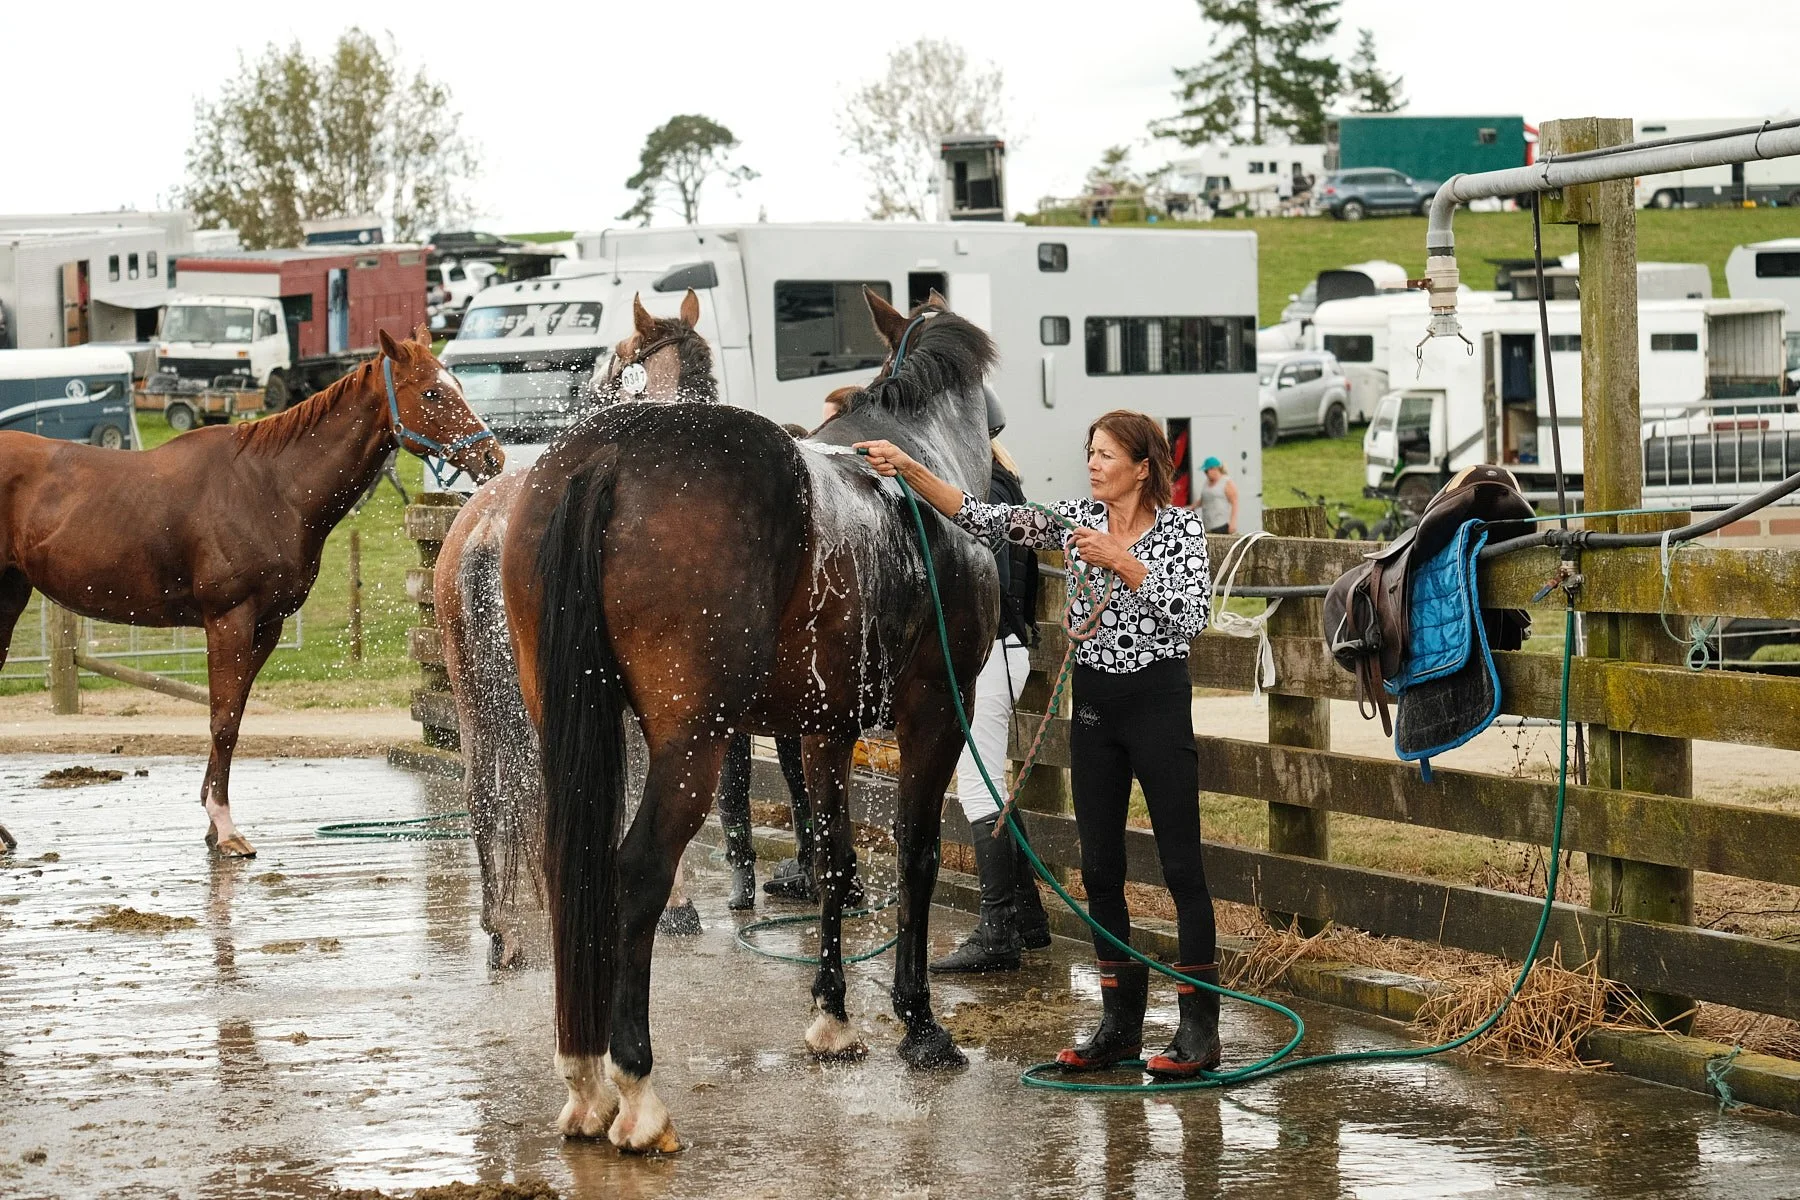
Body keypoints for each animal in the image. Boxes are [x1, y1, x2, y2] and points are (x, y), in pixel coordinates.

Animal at [0, 326, 503, 856]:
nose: (492, 456)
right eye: (431, 393)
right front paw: (225, 828)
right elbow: (222, 720)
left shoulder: (267, 626)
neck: (271, 487)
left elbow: (234, 715)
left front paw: (210, 818)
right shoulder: (230, 620)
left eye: (457, 385)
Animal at [500, 288, 998, 1153]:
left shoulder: (825, 728)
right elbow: (918, 856)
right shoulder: (939, 709)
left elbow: (833, 857)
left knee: (576, 868)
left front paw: (833, 1019)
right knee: (636, 873)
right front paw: (919, 1022)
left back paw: (585, 1082)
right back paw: (635, 1088)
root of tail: (606, 456)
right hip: (691, 743)